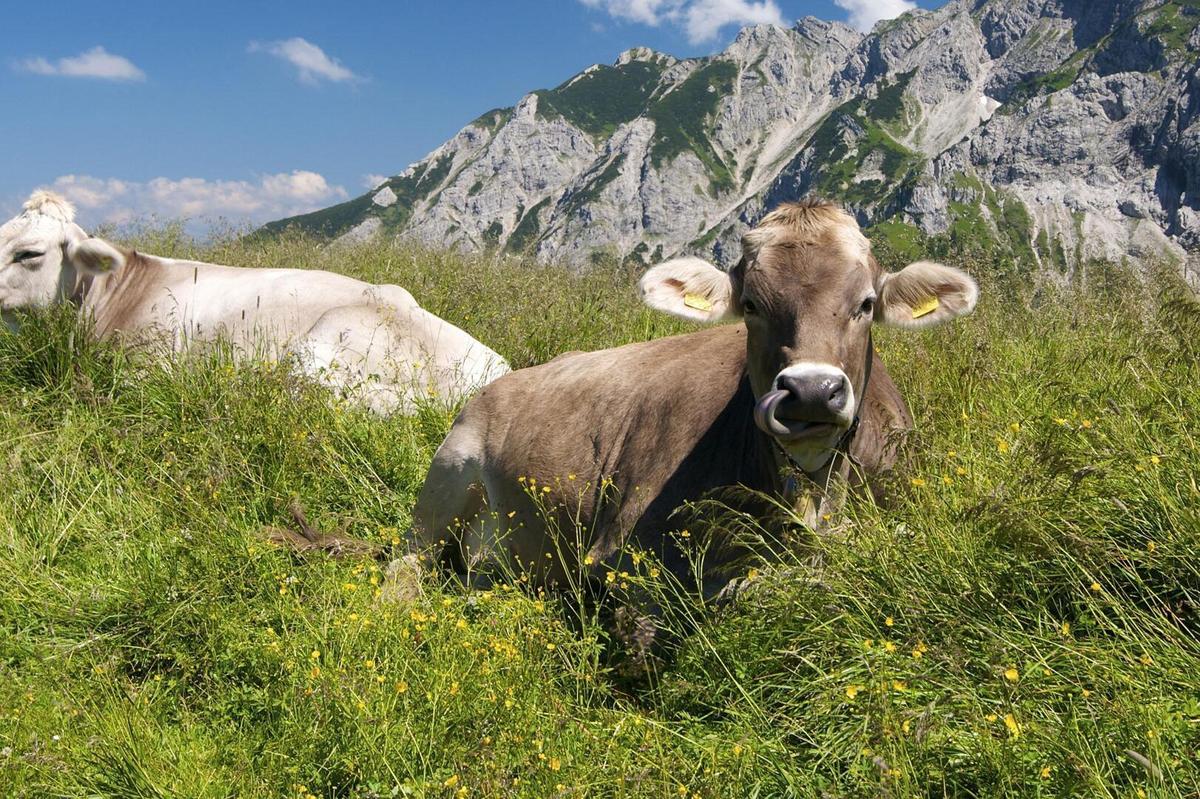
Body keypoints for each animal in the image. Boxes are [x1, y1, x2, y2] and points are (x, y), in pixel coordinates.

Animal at [410, 202, 974, 607]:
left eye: (866, 304)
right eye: (751, 305)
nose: (812, 391)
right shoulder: (621, 553)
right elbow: (739, 589)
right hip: (447, 476)